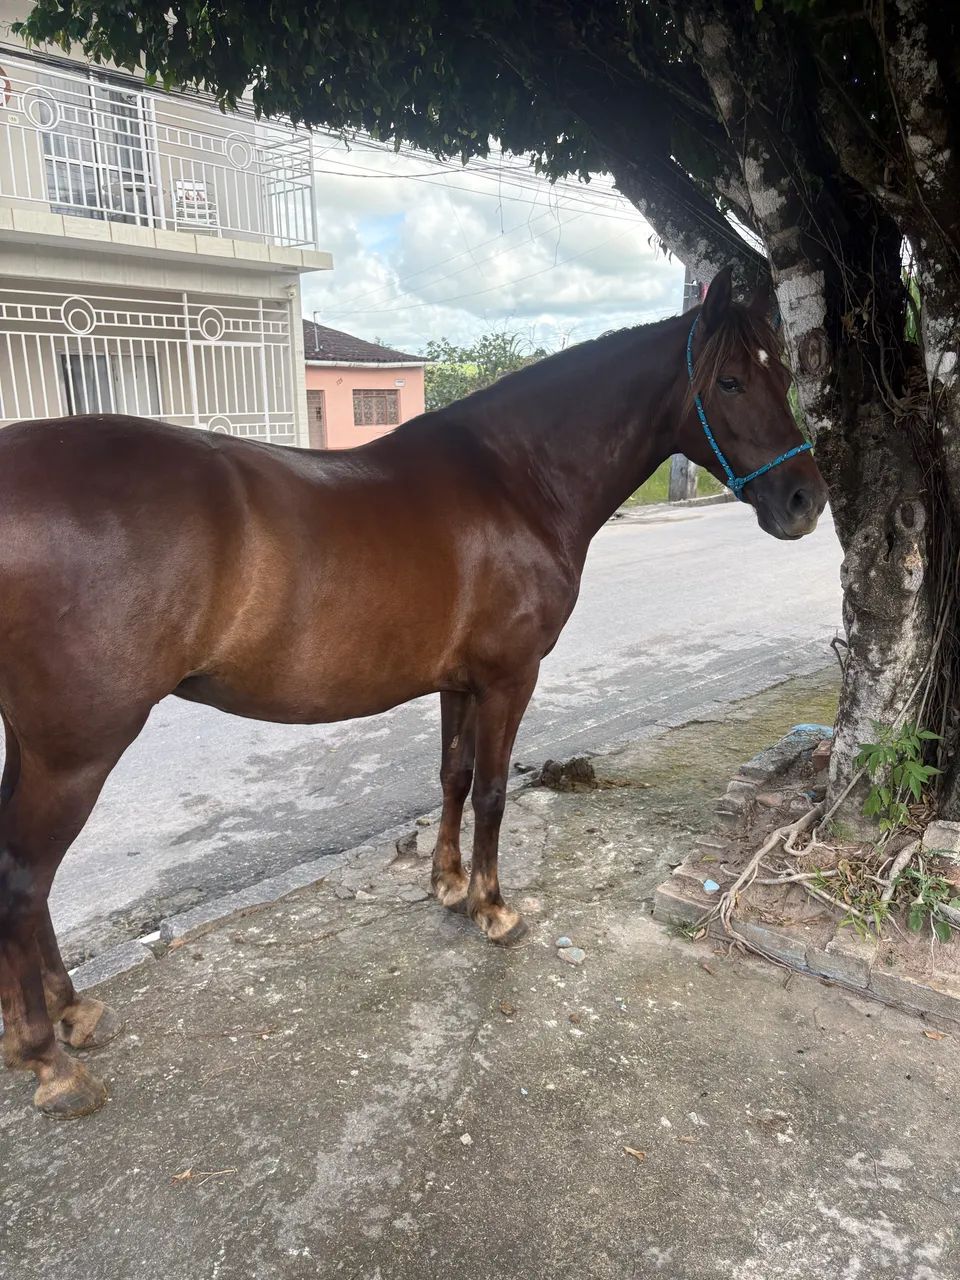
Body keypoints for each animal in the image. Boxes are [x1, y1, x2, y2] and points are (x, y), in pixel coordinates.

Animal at [0, 266, 827, 1118]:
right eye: (730, 380)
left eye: (784, 374)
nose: (806, 500)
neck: (515, 480)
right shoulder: (508, 678)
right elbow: (493, 790)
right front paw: (495, 908)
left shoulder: (458, 683)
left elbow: (453, 777)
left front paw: (448, 883)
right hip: (77, 752)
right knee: (23, 882)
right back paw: (49, 1059)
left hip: (34, 746)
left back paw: (72, 1013)